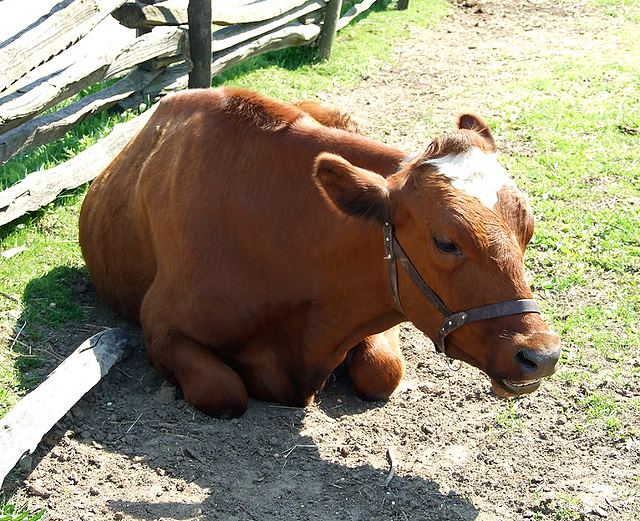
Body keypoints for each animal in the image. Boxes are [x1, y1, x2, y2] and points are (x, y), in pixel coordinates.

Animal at [79, 87, 560, 416]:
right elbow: (225, 392)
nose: (541, 355)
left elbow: (383, 370)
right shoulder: (160, 325)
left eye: (528, 227)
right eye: (445, 241)